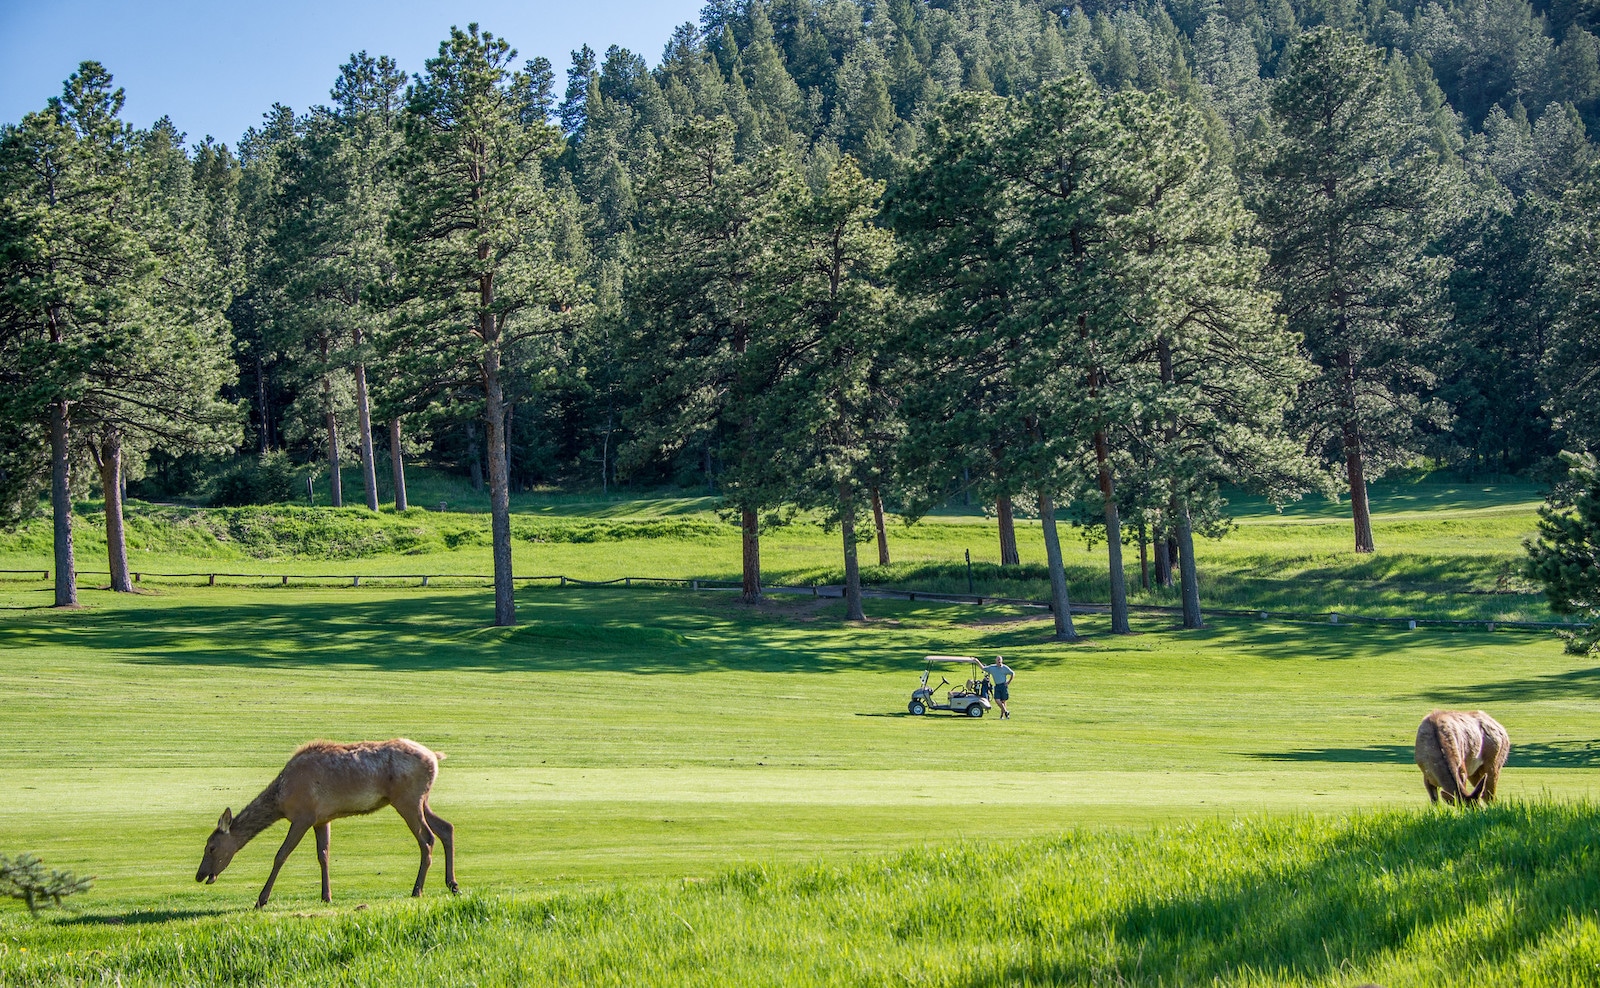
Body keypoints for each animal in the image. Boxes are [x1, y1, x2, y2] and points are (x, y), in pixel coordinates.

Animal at [195, 735, 457, 901]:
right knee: (447, 827)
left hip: (407, 799)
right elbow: (323, 856)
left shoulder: (303, 816)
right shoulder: (322, 818)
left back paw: (417, 890)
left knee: (427, 838)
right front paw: (326, 896)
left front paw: (261, 899)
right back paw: (452, 884)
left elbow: (281, 855)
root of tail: (435, 757)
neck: (281, 799)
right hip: (422, 799)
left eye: (211, 847)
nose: (199, 875)